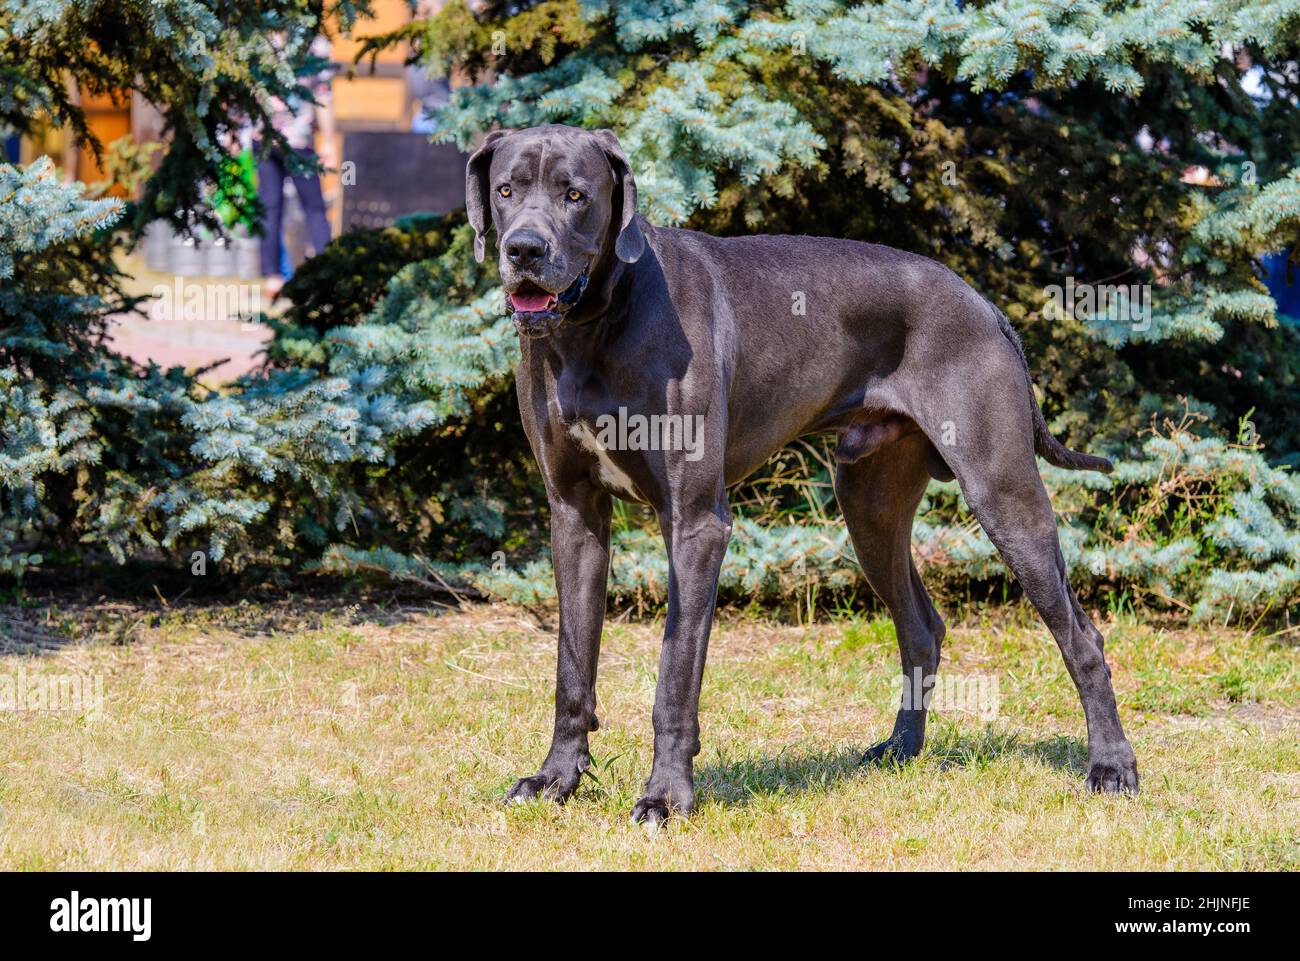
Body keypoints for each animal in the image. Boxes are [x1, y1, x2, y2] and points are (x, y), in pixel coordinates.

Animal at [467, 122, 1138, 827]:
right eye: (506, 190)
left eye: (575, 195)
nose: (523, 249)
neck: (592, 327)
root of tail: (983, 302)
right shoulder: (574, 514)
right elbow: (573, 667)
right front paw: (555, 779)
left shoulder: (696, 523)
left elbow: (675, 674)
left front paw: (666, 795)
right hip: (869, 504)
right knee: (921, 627)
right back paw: (901, 749)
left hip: (1002, 491)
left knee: (1083, 636)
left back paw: (1111, 767)